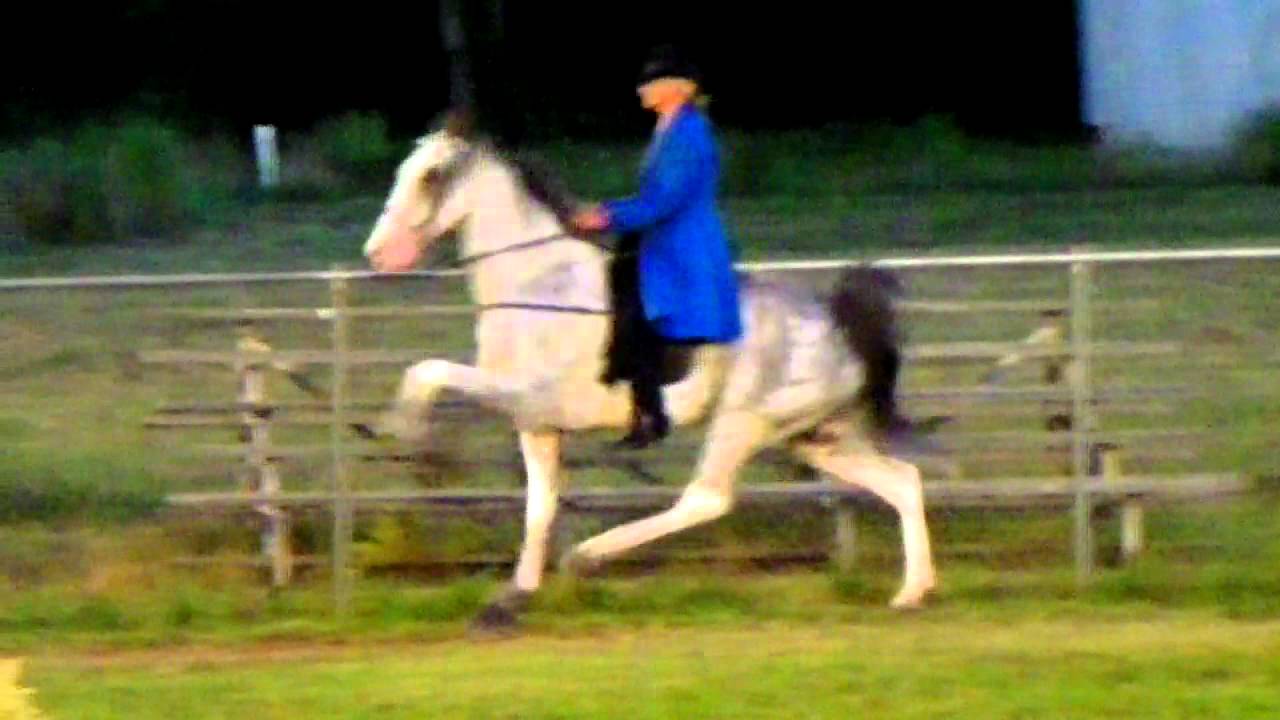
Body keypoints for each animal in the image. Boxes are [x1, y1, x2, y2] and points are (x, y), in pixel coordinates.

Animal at [361, 111, 938, 632]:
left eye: (430, 175)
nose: (377, 254)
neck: (542, 287)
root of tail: (837, 321)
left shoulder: (538, 397)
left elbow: (431, 371)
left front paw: (400, 431)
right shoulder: (538, 422)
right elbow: (540, 507)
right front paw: (509, 601)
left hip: (743, 423)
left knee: (706, 498)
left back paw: (590, 555)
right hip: (815, 436)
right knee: (903, 482)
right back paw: (911, 593)